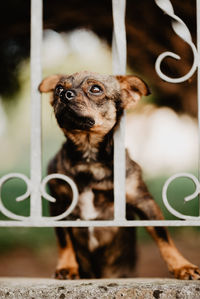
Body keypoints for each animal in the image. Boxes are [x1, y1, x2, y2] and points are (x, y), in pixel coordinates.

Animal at [38, 71, 200, 282]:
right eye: (58, 88)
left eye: (95, 89)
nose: (65, 94)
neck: (89, 158)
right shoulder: (60, 206)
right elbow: (64, 240)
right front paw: (66, 267)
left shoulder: (144, 202)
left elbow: (163, 237)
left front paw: (182, 266)